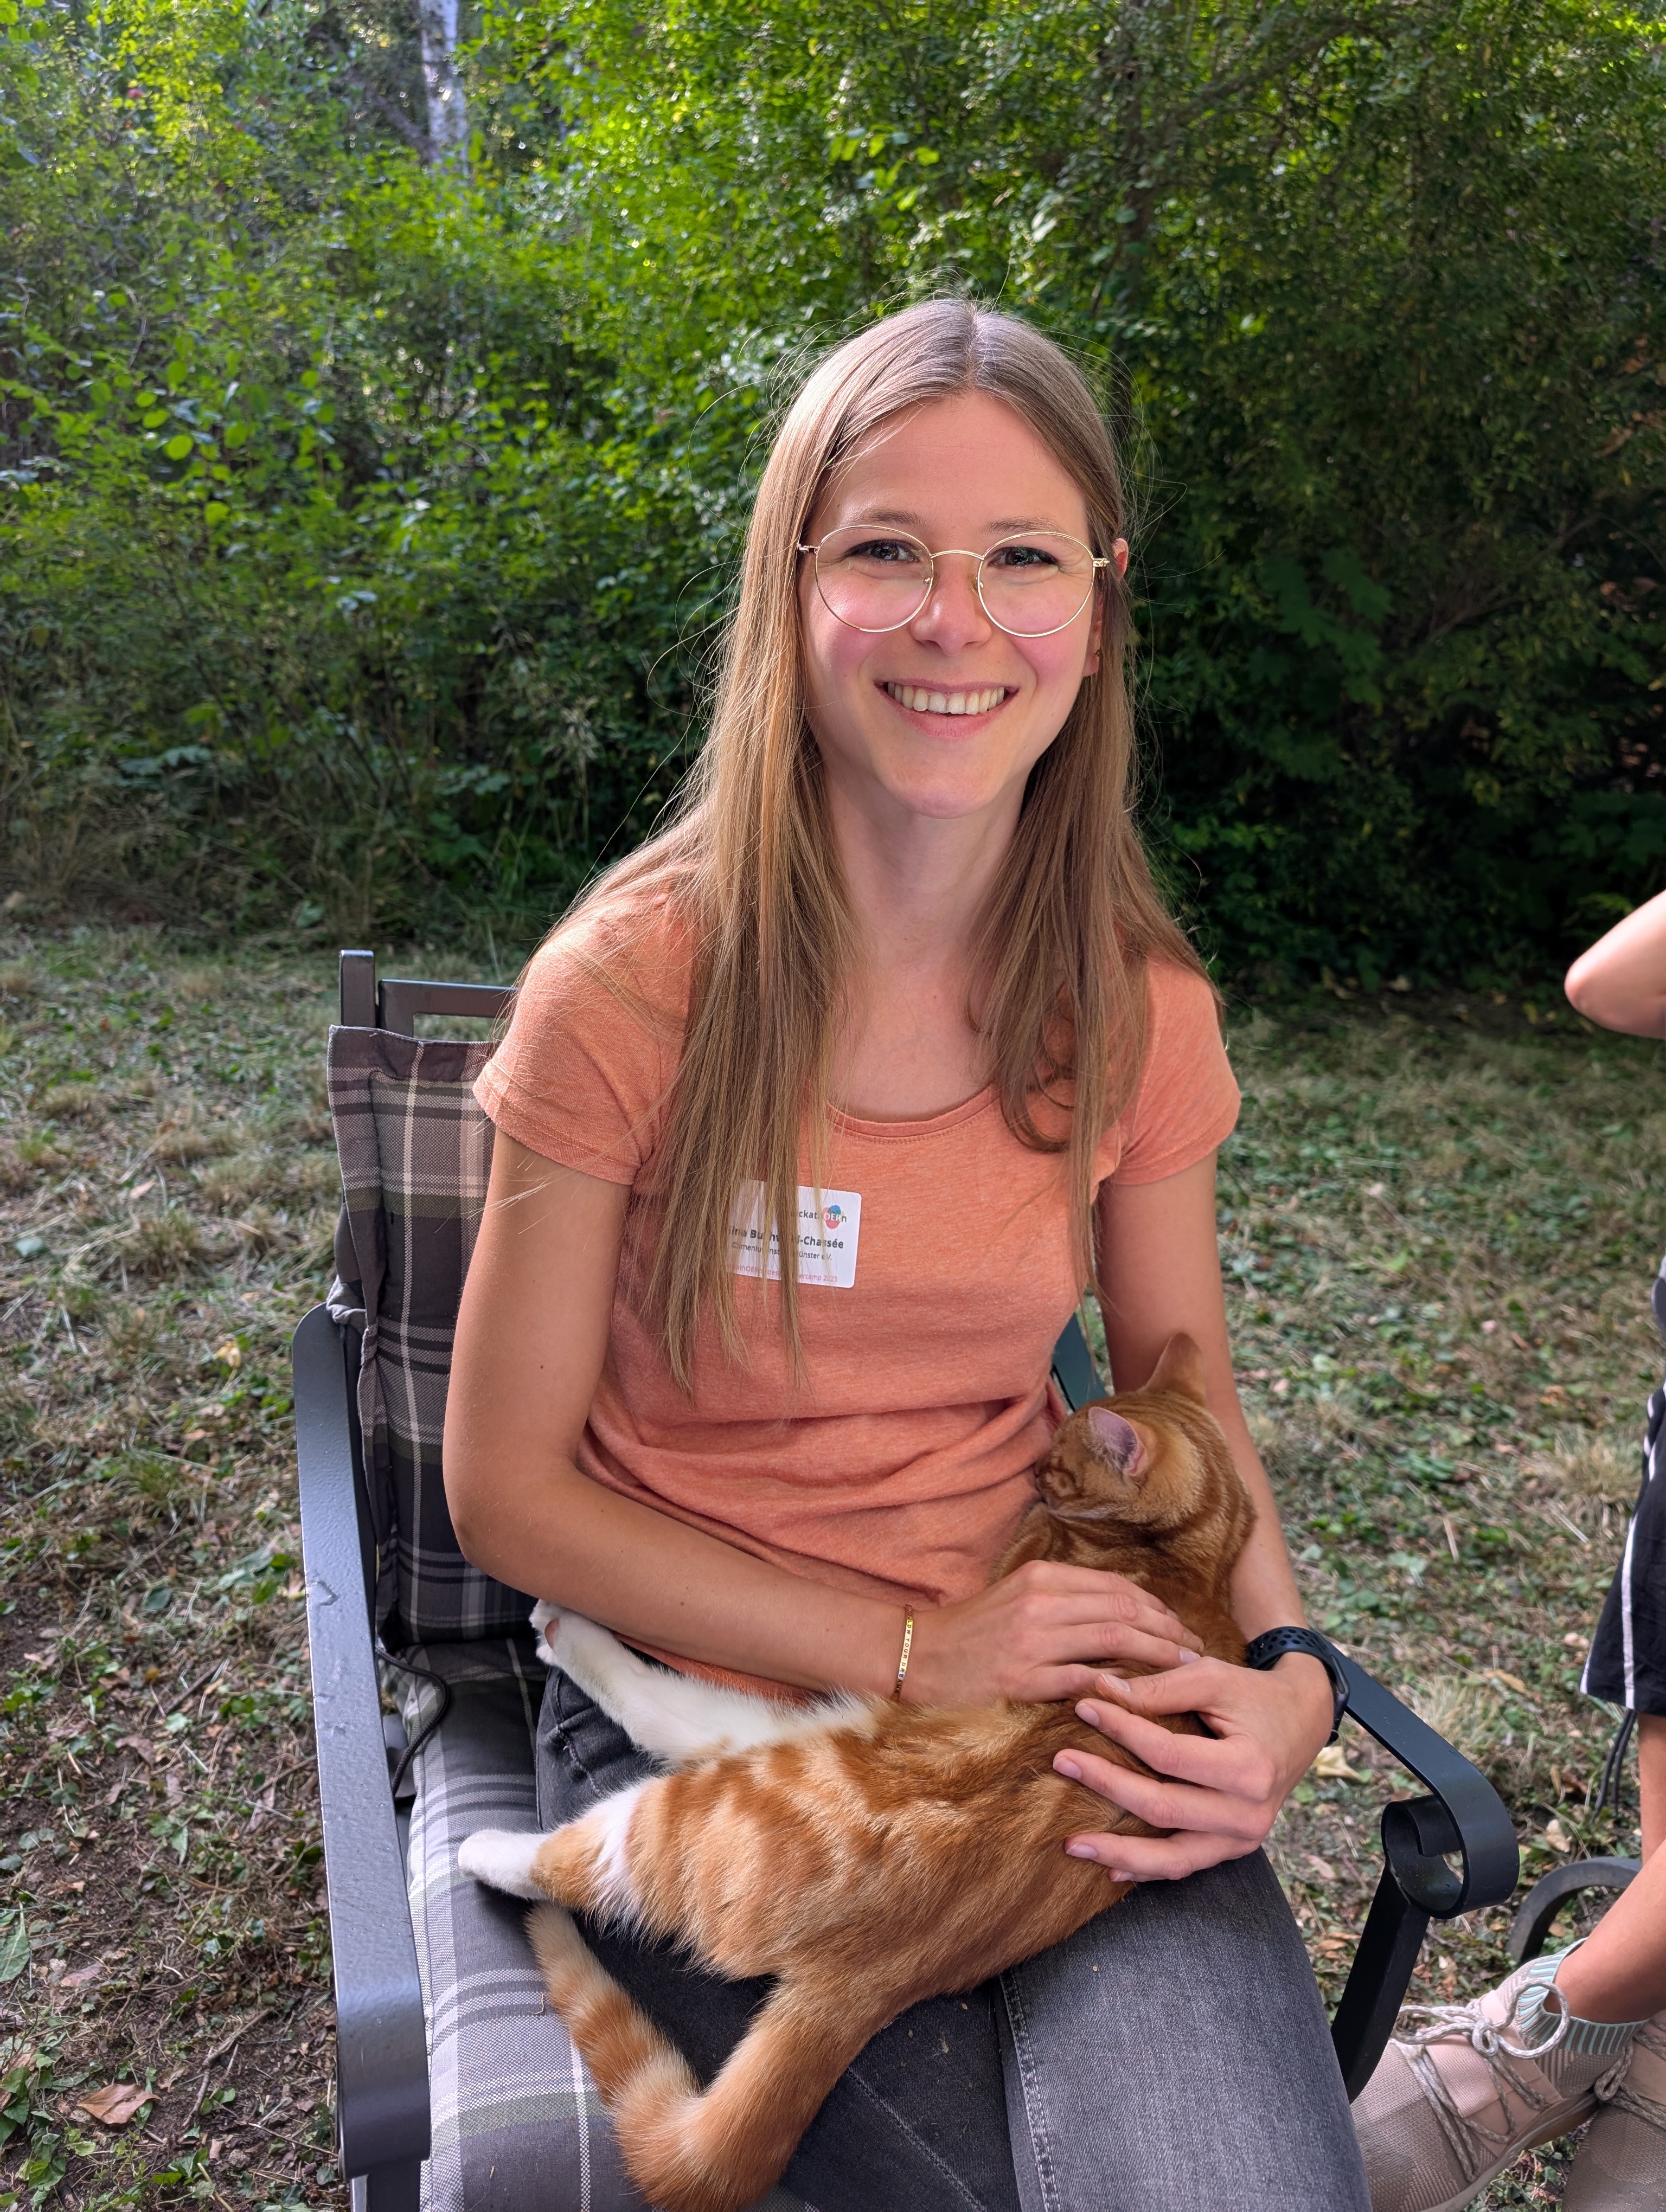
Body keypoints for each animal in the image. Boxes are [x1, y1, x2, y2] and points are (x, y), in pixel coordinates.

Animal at [460, 1332, 1254, 2212]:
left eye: (1060, 1462)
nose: (1036, 1478)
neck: (1192, 1559)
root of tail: (874, 1973)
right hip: (793, 1726)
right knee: (674, 1716)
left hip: (712, 1798)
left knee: (592, 1829)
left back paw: (494, 1826)